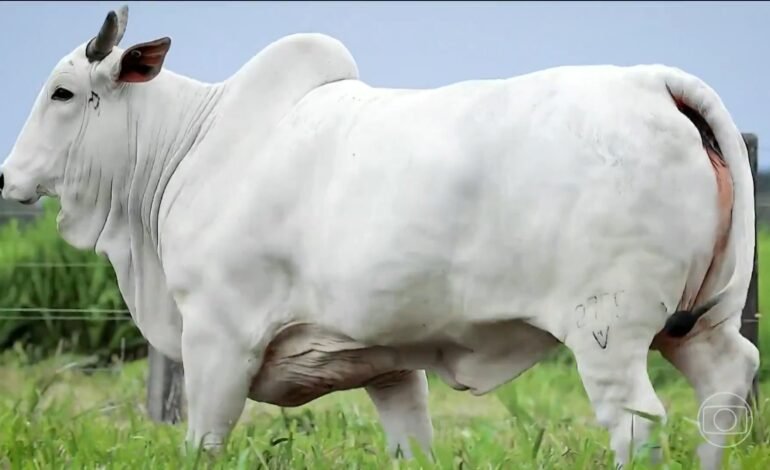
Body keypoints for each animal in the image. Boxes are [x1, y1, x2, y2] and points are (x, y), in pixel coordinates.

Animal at [0, 5, 758, 469]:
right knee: (726, 384)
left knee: (637, 422)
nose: (9, 176)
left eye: (62, 92)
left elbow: (204, 444)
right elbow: (412, 444)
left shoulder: (219, 341)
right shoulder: (389, 363)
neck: (188, 148)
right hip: (700, 324)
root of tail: (655, 84)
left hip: (608, 333)